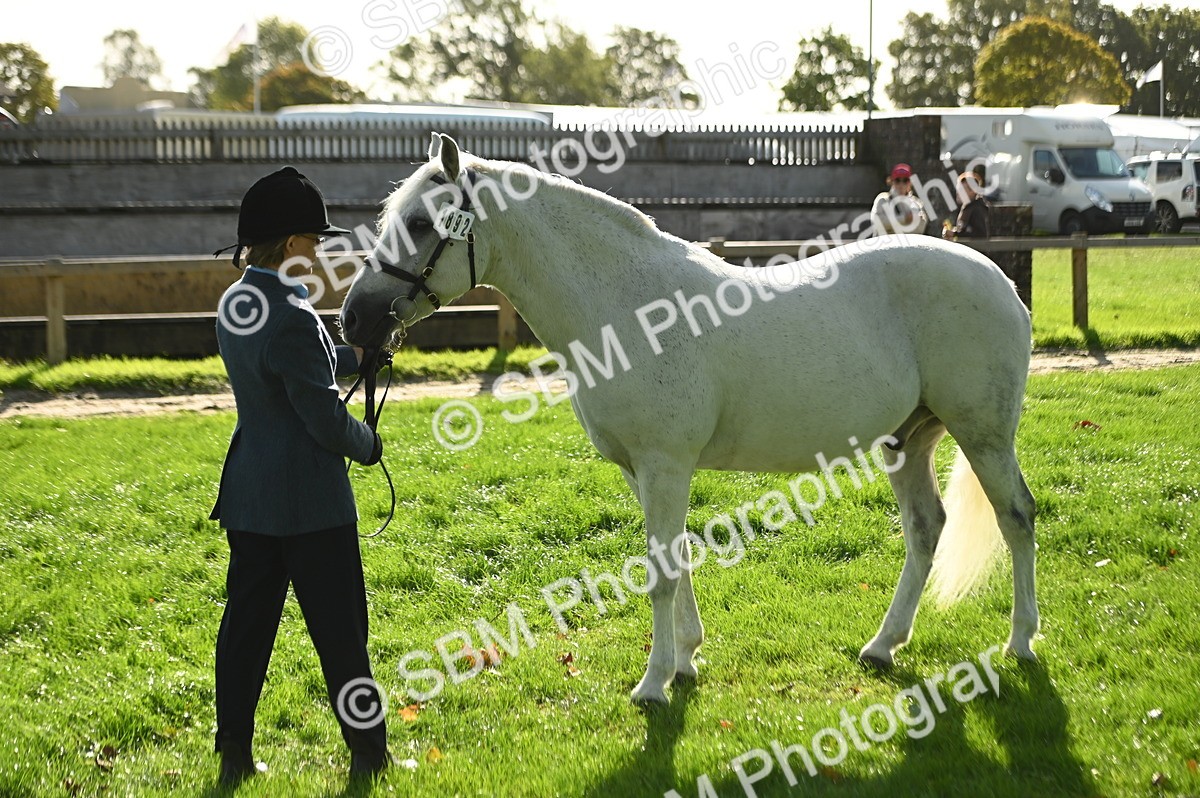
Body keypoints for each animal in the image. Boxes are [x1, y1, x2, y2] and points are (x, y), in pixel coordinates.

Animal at [339, 133, 1039, 704]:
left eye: (423, 222)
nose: (355, 320)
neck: (628, 306)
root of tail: (1001, 280)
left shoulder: (666, 466)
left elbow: (660, 573)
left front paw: (653, 684)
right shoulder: (641, 470)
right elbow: (672, 559)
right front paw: (685, 661)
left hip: (984, 436)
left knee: (1016, 518)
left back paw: (1021, 643)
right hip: (908, 440)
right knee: (926, 528)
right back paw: (882, 645)